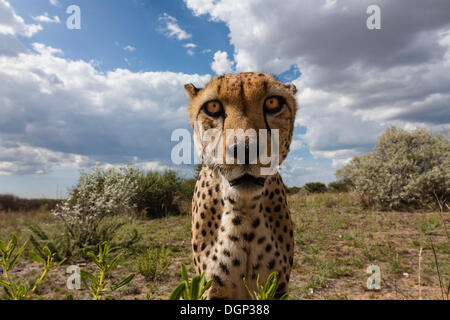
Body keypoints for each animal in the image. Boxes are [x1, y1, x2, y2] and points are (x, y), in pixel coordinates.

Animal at [185, 71, 298, 298]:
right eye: (213, 107)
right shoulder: (211, 289)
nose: (246, 149)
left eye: (273, 103)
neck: (243, 208)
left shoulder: (277, 287)